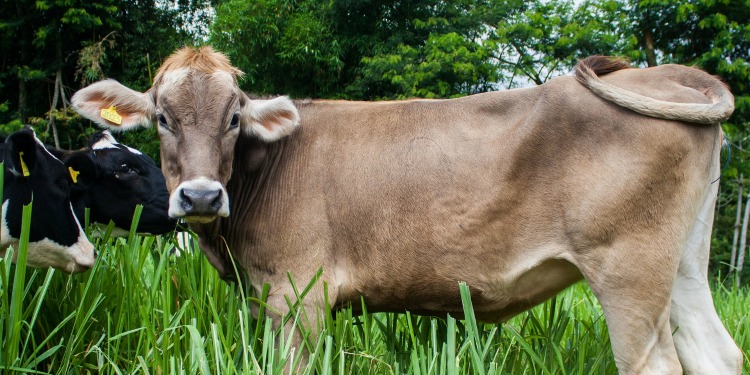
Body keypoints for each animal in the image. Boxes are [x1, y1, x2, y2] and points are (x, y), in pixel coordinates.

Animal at [72, 48, 748, 374]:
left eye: (234, 116)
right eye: (162, 117)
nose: (202, 197)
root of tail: (665, 73)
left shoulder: (298, 296)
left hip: (628, 269)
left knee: (652, 363)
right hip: (684, 266)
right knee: (716, 354)